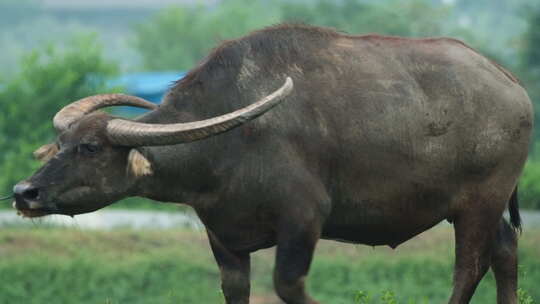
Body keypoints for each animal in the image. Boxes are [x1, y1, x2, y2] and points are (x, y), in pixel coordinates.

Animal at [12, 24, 532, 304]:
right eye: (59, 143)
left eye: (91, 148)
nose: (23, 193)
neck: (227, 150)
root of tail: (512, 84)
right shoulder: (223, 238)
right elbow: (236, 289)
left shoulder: (304, 220)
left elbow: (287, 284)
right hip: (480, 208)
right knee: (505, 250)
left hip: (479, 202)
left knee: (470, 266)